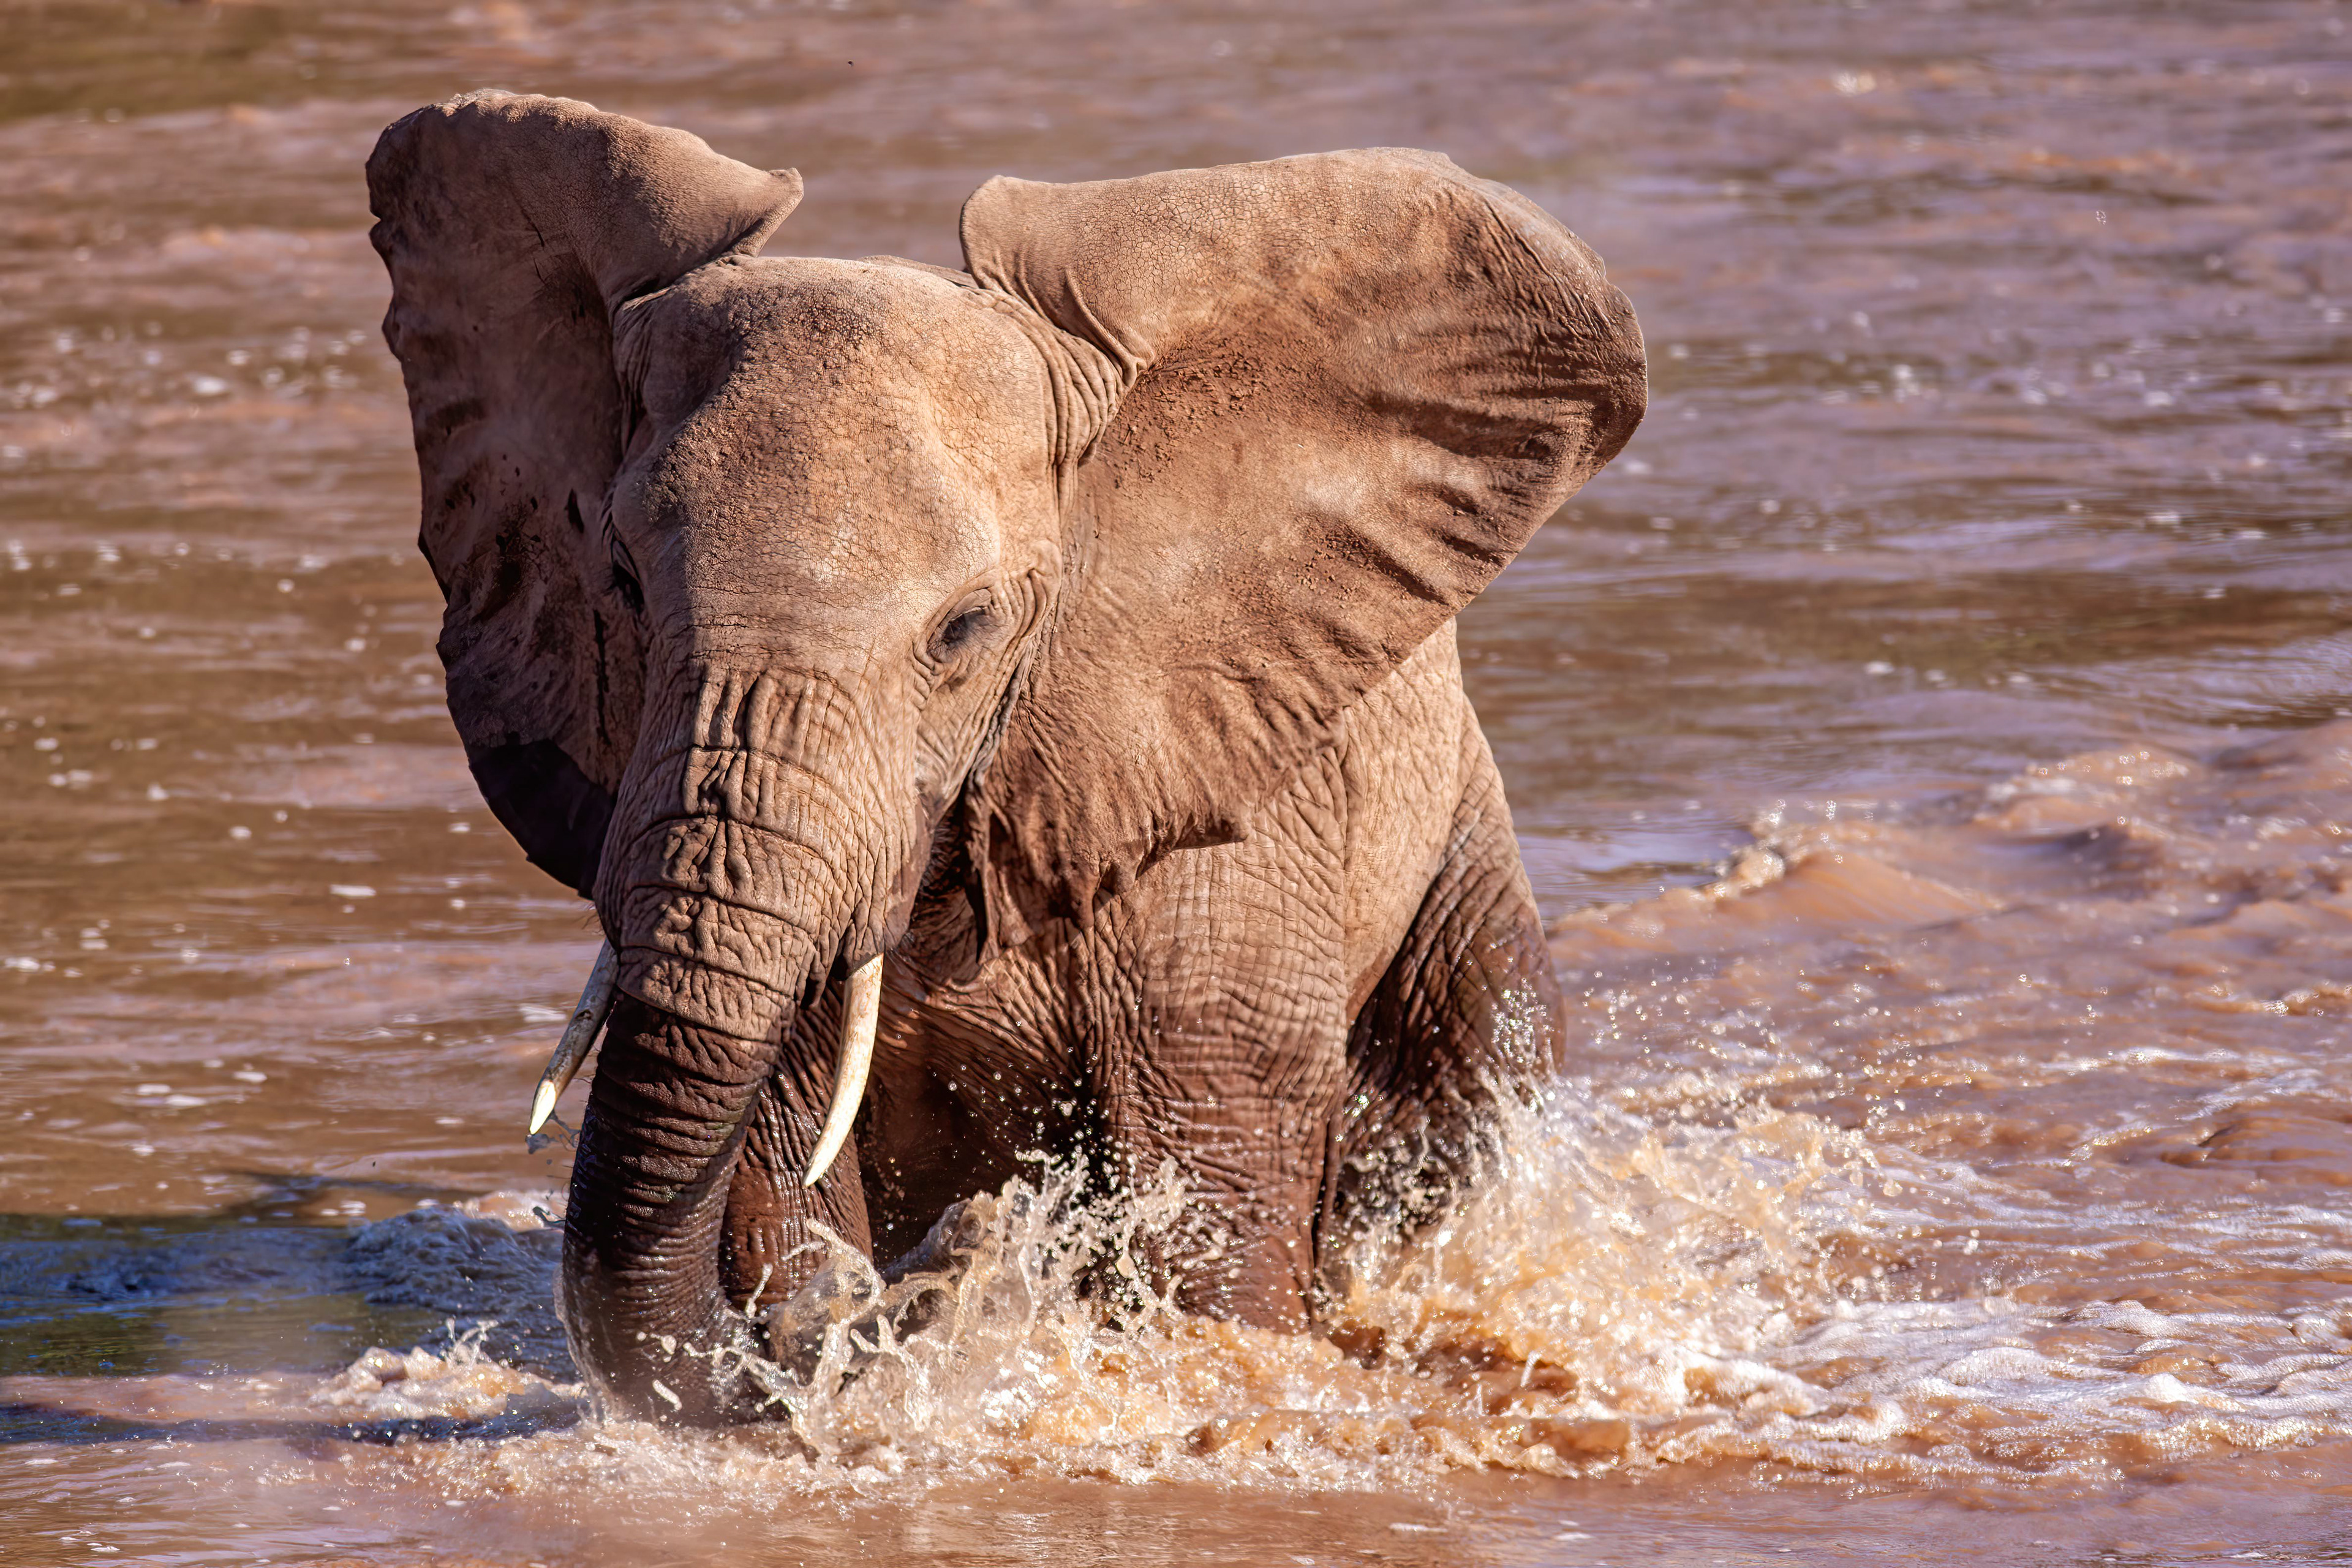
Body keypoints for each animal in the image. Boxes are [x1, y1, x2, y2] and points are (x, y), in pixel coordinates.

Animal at [366, 91, 1645, 1425]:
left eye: (966, 629)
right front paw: (827, 1310)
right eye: (618, 580)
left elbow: (1204, 1205)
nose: (962, 1254)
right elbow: (773, 1146)